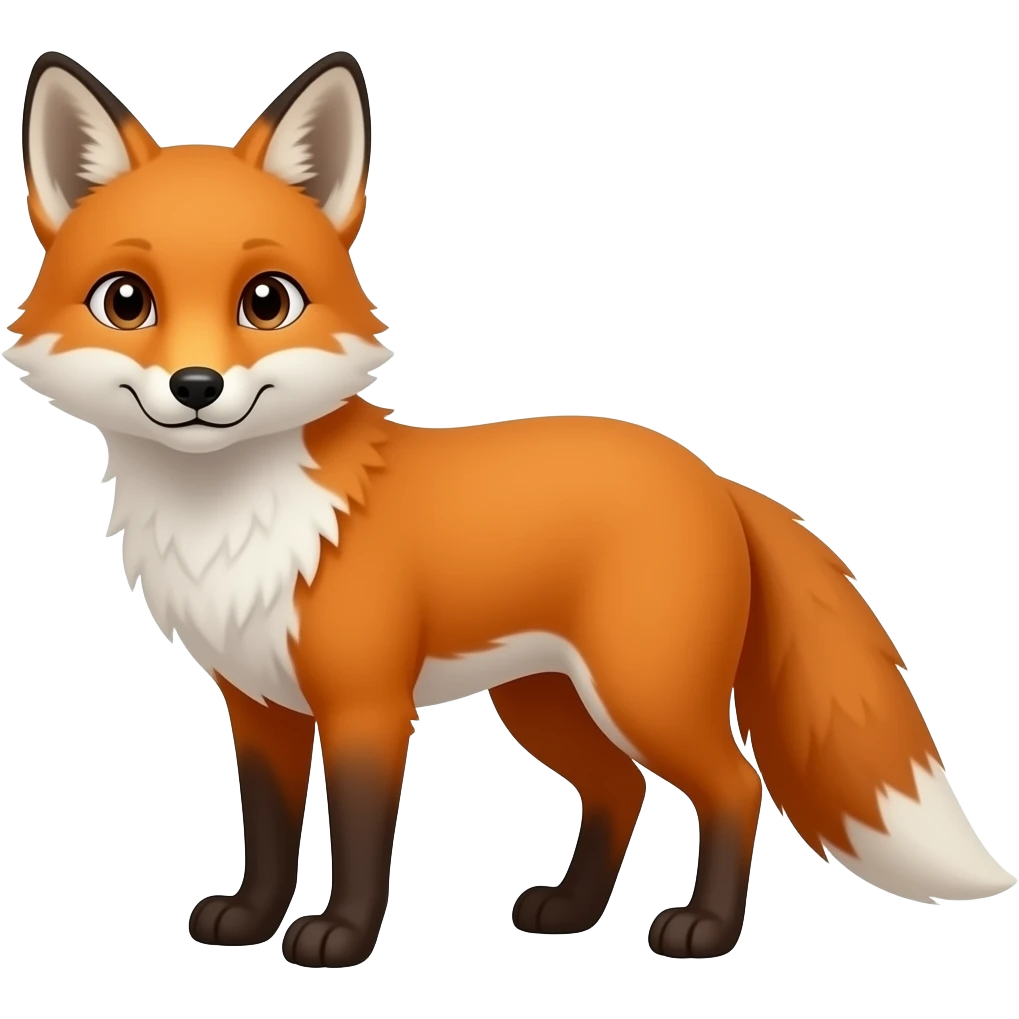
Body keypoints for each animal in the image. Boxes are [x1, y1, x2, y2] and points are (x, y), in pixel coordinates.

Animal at [6, 49, 1016, 969]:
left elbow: (362, 837)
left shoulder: (367, 704)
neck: (236, 520)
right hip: (545, 701)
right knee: (618, 790)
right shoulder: (259, 704)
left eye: (266, 301)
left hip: (642, 690)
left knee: (735, 784)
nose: (196, 386)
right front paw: (251, 921)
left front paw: (340, 937)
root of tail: (712, 476)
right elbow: (267, 830)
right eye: (126, 301)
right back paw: (569, 911)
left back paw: (703, 930)